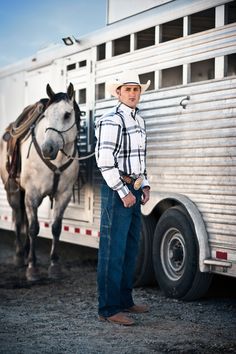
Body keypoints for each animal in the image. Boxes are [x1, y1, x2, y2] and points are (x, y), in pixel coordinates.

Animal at [0, 83, 81, 282]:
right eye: (46, 115)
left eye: (67, 114)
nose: (47, 149)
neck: (57, 160)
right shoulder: (32, 195)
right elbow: (33, 228)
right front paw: (32, 268)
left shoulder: (63, 195)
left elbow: (56, 228)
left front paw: (54, 265)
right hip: (13, 192)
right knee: (19, 220)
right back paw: (20, 256)